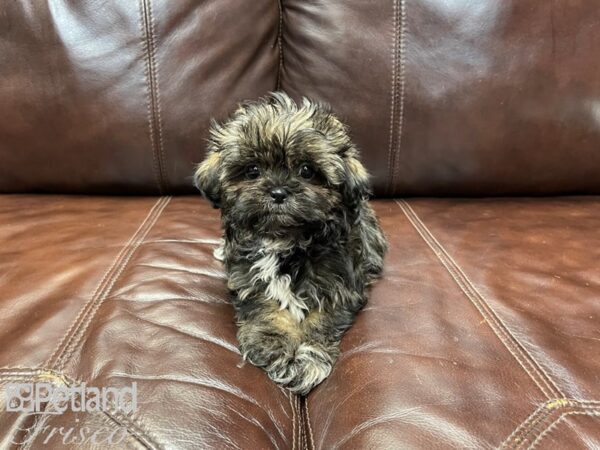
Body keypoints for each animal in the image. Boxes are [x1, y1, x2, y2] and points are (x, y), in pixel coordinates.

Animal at [195, 92, 386, 394]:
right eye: (252, 171)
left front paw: (307, 356)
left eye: (307, 170)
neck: (286, 240)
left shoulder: (338, 282)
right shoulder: (250, 278)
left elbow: (320, 319)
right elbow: (267, 310)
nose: (278, 192)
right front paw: (276, 345)